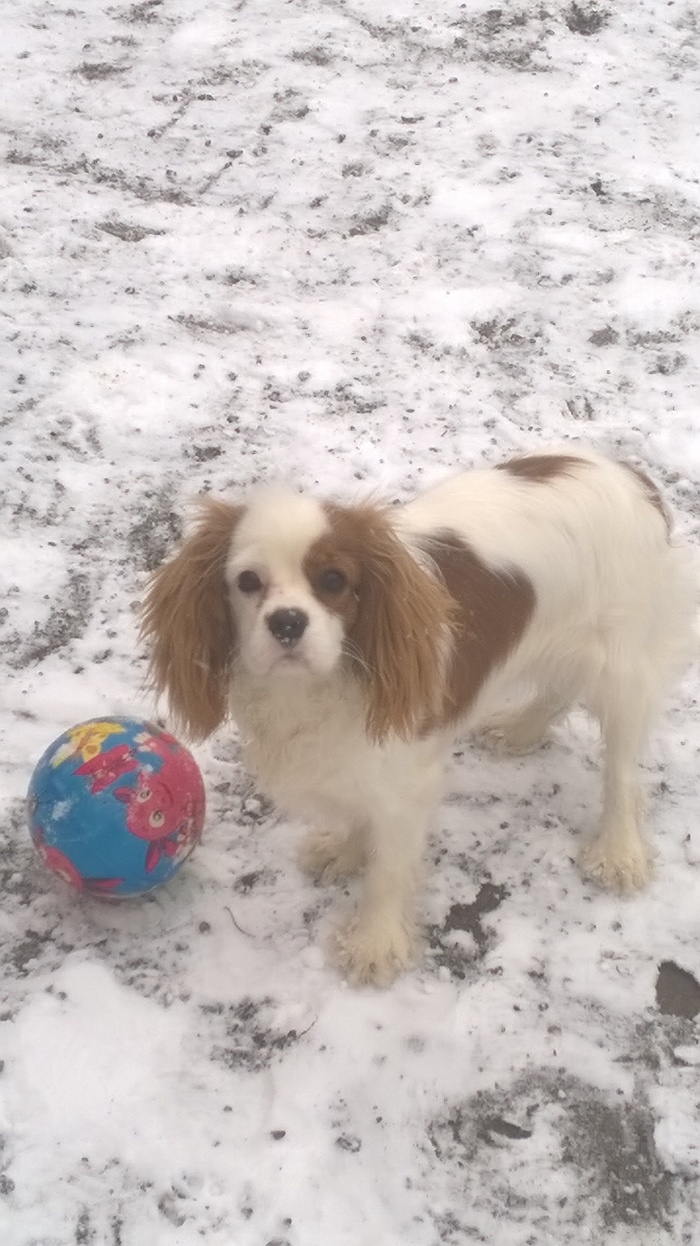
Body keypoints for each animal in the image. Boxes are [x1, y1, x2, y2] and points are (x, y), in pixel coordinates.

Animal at [140, 448, 692, 981]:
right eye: (248, 581)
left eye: (334, 580)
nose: (287, 622)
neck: (318, 685)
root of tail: (629, 474)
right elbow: (360, 816)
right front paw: (346, 850)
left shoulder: (406, 780)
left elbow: (388, 869)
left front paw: (374, 944)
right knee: (559, 690)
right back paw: (520, 730)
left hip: (622, 667)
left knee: (621, 771)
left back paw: (619, 851)